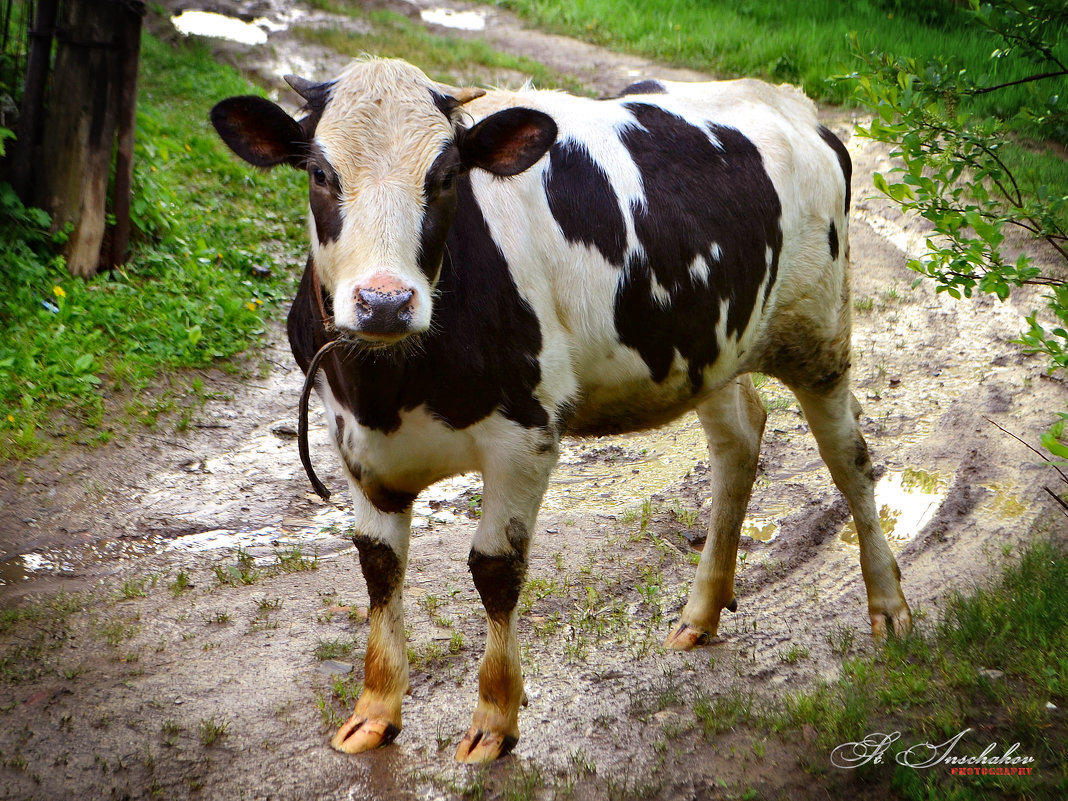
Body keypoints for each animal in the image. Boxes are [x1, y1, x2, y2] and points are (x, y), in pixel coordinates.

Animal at [212, 57, 914, 764]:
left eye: (445, 177)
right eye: (320, 174)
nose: (384, 302)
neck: (389, 384)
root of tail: (789, 101)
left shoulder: (526, 436)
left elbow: (494, 569)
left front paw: (495, 717)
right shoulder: (353, 440)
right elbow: (379, 567)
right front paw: (375, 710)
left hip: (818, 333)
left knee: (850, 459)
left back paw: (889, 606)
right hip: (707, 345)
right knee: (739, 441)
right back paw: (701, 613)